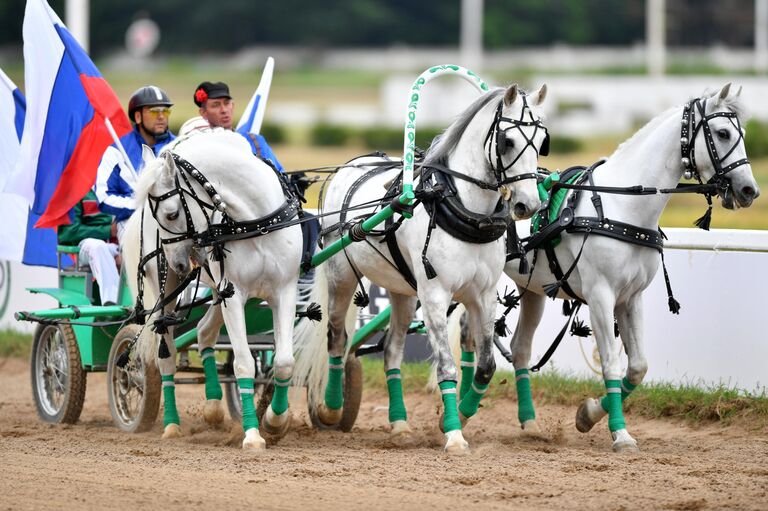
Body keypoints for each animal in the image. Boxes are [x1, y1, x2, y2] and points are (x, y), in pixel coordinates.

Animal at [123, 131, 304, 452]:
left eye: (171, 214)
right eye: (161, 217)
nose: (178, 262)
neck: (255, 223)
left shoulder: (284, 290)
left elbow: (283, 362)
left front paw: (275, 422)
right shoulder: (235, 296)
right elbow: (243, 364)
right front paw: (252, 434)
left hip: (219, 295)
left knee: (205, 332)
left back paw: (213, 407)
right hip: (167, 292)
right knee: (166, 355)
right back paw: (171, 425)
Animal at [292, 84, 548, 456]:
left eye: (543, 140)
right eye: (507, 141)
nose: (528, 205)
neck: (460, 207)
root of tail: (349, 165)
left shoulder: (483, 295)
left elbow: (485, 366)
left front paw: (457, 416)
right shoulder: (435, 296)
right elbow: (447, 366)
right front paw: (454, 434)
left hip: (401, 292)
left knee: (391, 353)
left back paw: (399, 425)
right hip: (342, 277)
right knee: (336, 340)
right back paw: (330, 408)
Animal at [492, 83, 756, 452]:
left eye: (742, 133)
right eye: (722, 132)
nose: (749, 189)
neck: (620, 206)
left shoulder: (630, 298)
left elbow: (638, 367)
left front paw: (588, 415)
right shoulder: (600, 296)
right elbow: (612, 366)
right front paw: (620, 433)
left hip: (531, 291)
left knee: (518, 350)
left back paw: (525, 421)